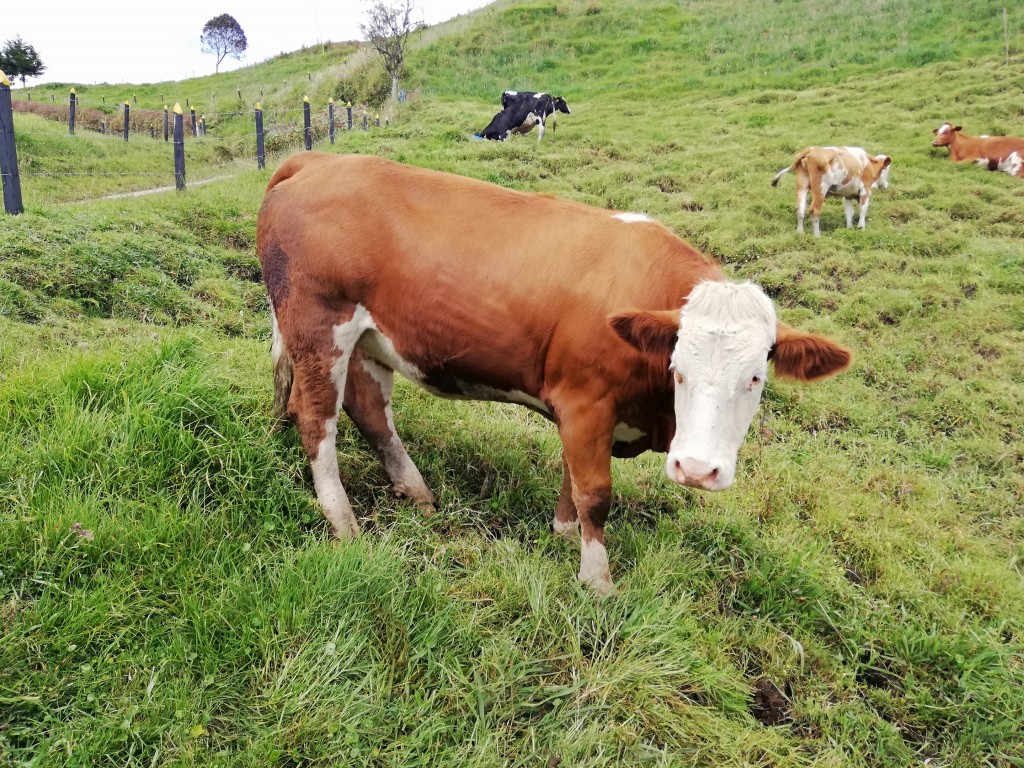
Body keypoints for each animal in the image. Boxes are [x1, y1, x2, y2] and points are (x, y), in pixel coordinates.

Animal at [257, 153, 852, 593]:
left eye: (755, 378)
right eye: (677, 368)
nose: (699, 470)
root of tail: (319, 159)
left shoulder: (584, 411)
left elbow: (573, 475)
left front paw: (565, 533)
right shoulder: (586, 402)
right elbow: (596, 492)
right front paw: (597, 581)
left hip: (371, 340)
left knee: (370, 412)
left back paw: (418, 493)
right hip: (318, 325)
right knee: (317, 421)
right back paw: (344, 523)